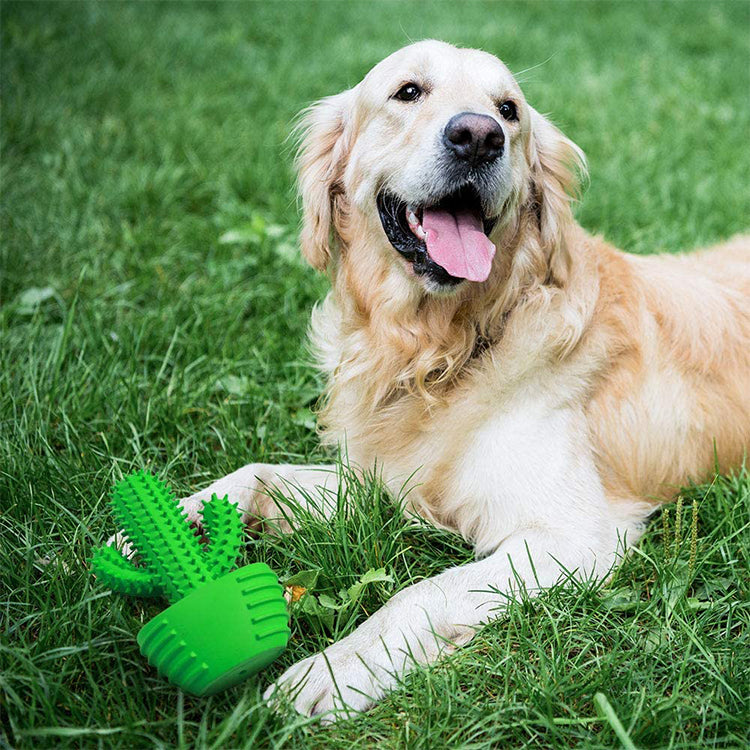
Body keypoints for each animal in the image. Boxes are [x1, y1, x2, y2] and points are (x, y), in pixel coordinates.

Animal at [179, 39, 748, 716]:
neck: (440, 351)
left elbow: (420, 593)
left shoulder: (574, 534)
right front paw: (180, 519)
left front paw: (332, 672)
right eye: (408, 91)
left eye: (508, 110)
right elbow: (258, 473)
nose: (479, 137)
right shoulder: (379, 477)